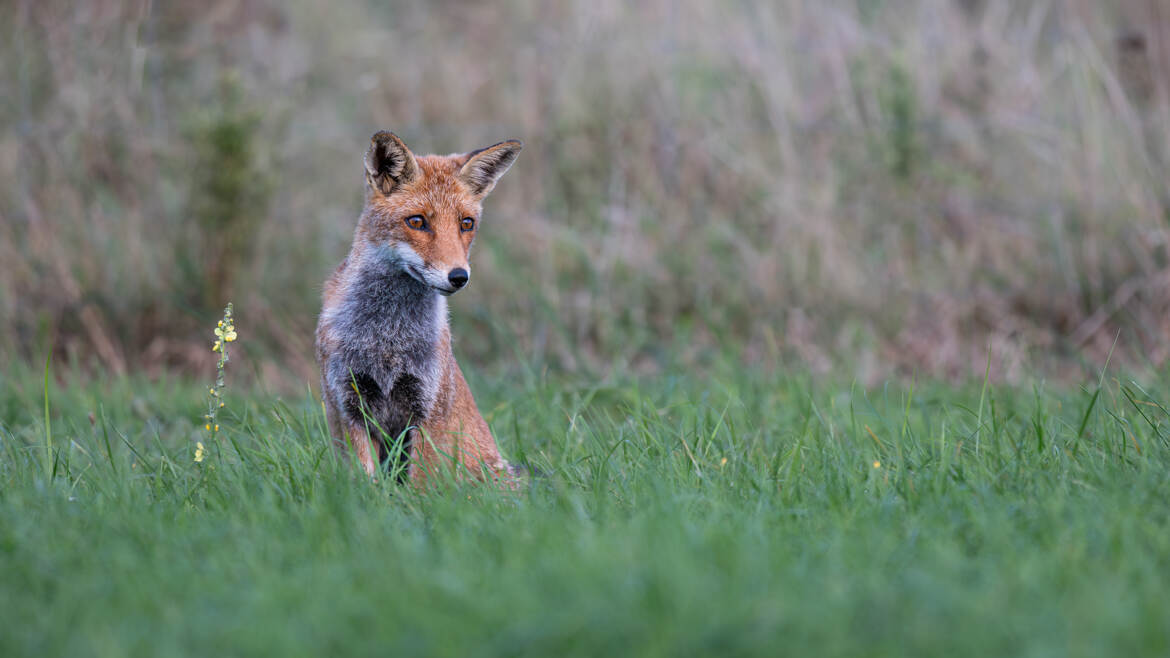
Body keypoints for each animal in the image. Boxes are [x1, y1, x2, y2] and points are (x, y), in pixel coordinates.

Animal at [318, 131, 524, 482]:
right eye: (416, 221)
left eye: (466, 224)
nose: (459, 276)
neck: (387, 337)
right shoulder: (348, 407)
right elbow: (365, 483)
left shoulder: (428, 410)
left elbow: (420, 486)